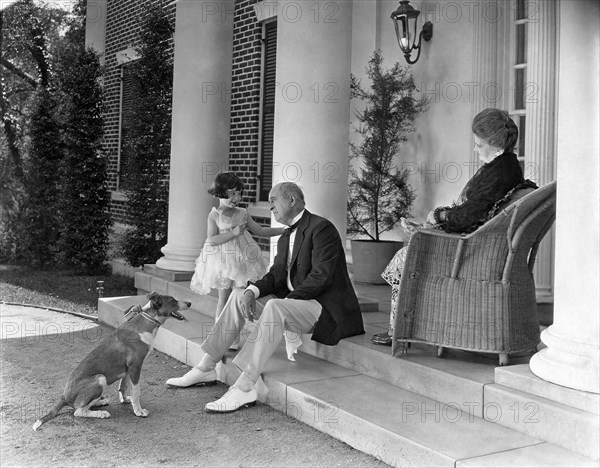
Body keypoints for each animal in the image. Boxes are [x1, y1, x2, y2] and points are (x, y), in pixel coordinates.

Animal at [31, 292, 190, 432]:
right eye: (173, 301)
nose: (189, 303)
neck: (147, 322)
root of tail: (64, 396)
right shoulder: (135, 366)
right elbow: (136, 391)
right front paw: (138, 411)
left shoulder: (127, 369)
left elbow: (124, 387)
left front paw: (126, 400)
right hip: (100, 378)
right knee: (78, 410)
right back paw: (101, 413)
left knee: (81, 405)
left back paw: (100, 402)